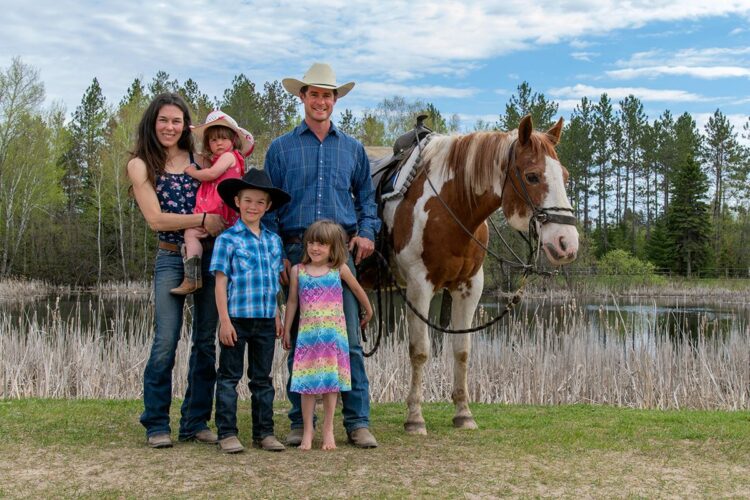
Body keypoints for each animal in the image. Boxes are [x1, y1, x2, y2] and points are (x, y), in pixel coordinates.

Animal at [382, 115, 580, 432]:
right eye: (532, 176)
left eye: (565, 175)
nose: (567, 243)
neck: (449, 208)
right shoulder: (418, 287)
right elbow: (420, 350)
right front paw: (414, 417)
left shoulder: (469, 287)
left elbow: (462, 350)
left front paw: (463, 413)